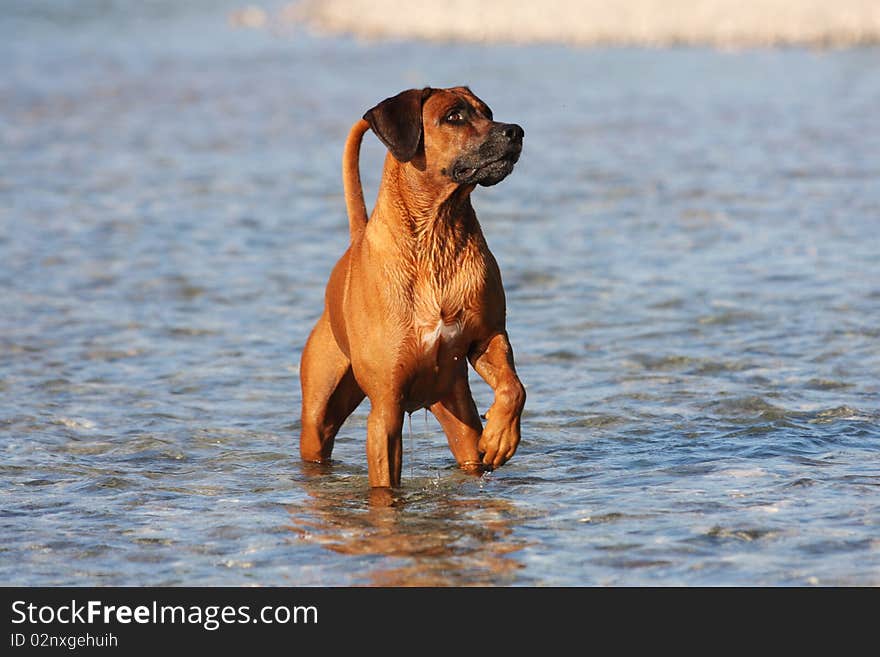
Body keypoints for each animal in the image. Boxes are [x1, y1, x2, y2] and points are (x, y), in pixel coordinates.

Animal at [300, 84, 524, 490]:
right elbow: (385, 483)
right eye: (454, 116)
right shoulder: (386, 408)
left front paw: (501, 435)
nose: (515, 131)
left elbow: (513, 387)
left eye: (488, 112)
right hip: (319, 415)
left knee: (470, 449)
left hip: (454, 408)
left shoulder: (488, 336)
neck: (436, 235)